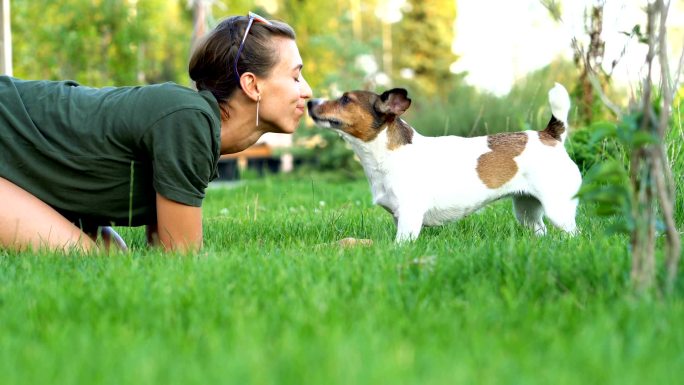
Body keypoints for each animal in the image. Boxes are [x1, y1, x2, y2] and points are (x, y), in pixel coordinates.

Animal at [310, 83, 584, 242]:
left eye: (345, 99)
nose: (310, 101)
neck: (387, 155)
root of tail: (551, 135)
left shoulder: (409, 217)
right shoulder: (400, 218)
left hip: (558, 210)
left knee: (575, 234)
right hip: (527, 210)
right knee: (541, 231)